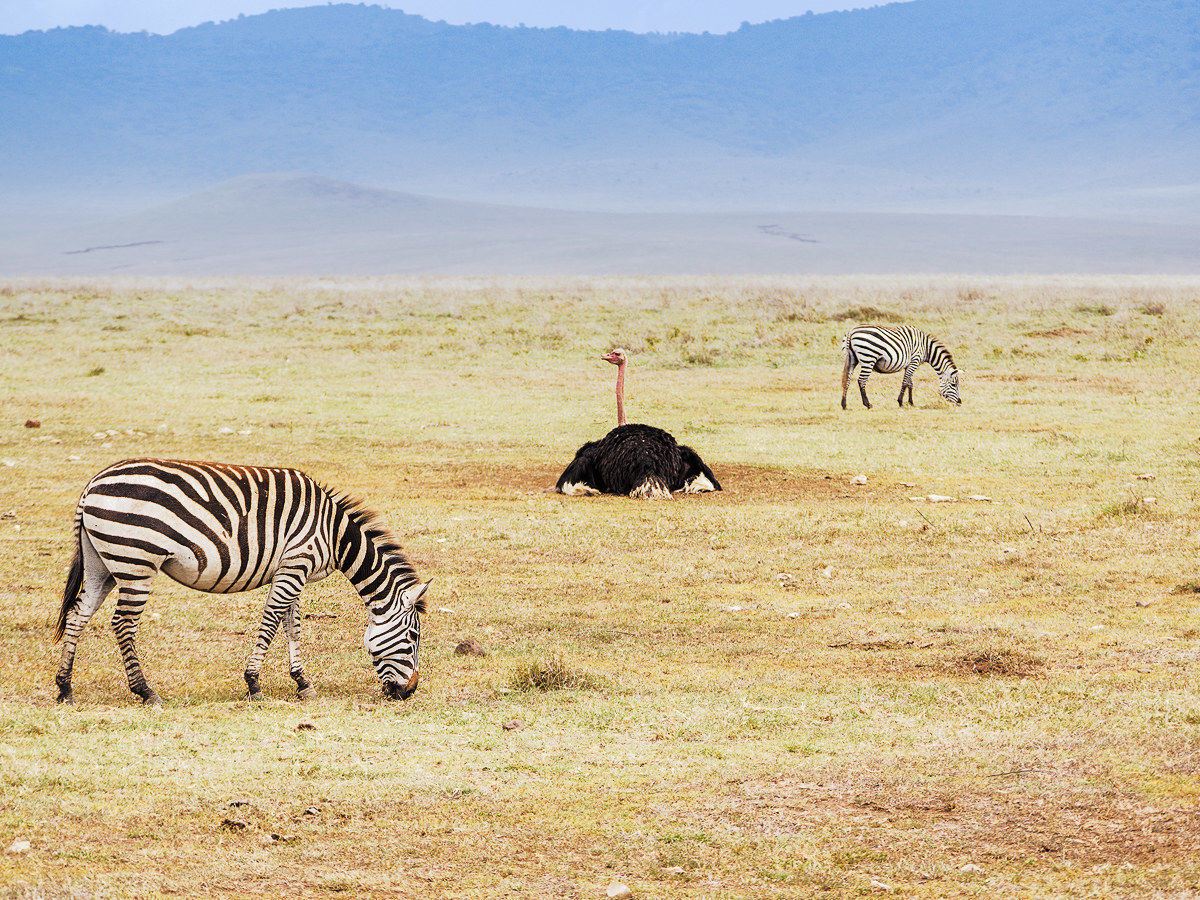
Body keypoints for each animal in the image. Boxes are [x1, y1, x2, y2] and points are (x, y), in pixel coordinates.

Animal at [54, 459, 430, 705]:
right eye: (413, 637)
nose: (409, 691)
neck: (333, 534)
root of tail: (92, 485)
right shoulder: (296, 563)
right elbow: (271, 622)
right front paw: (254, 683)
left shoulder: (293, 568)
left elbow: (292, 625)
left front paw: (302, 682)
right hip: (136, 563)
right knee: (123, 624)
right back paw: (145, 691)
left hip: (101, 563)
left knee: (77, 615)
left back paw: (65, 688)